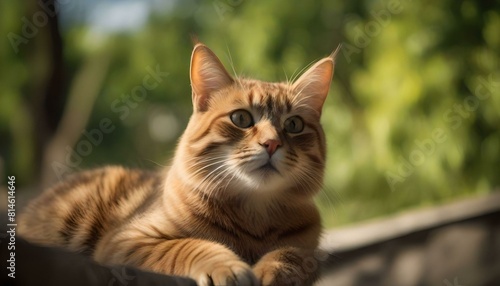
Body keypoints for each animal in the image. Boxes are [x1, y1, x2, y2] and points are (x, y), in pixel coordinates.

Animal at [20, 43, 340, 286]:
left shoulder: (309, 252)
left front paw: (270, 271)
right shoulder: (128, 240)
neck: (253, 214)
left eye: (294, 125)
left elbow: (289, 256)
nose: (272, 143)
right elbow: (189, 246)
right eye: (241, 118)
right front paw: (228, 267)